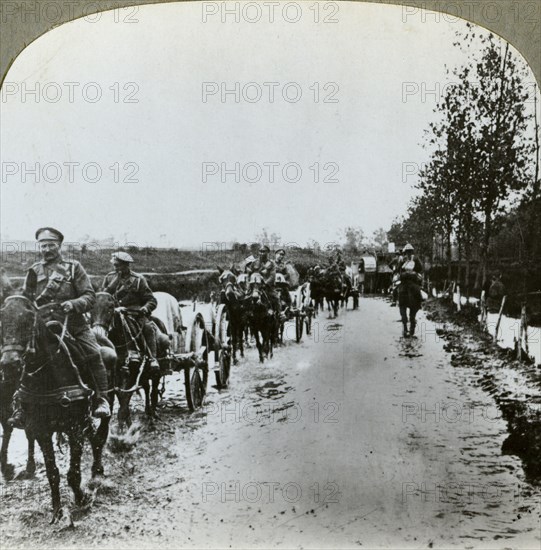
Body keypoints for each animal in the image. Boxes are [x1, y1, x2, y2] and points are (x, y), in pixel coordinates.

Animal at [0, 298, 113, 528]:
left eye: (28, 319)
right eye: (2, 319)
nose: (9, 364)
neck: (50, 374)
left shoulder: (74, 427)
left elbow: (73, 473)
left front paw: (81, 499)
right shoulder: (42, 430)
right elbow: (53, 473)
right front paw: (57, 511)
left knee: (100, 435)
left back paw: (97, 470)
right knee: (94, 438)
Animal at [89, 294, 169, 432]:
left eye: (111, 307)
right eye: (90, 309)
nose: (98, 334)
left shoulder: (132, 375)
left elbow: (124, 402)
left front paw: (123, 429)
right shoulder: (111, 376)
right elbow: (114, 399)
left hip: (157, 371)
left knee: (153, 390)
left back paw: (153, 415)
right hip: (144, 373)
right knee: (147, 388)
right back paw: (147, 411)